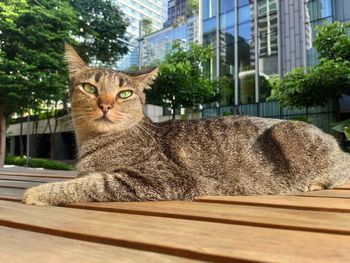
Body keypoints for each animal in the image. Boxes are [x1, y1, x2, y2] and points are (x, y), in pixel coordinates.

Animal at [22, 44, 350, 207]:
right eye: (90, 88)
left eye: (124, 93)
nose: (105, 105)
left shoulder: (162, 179)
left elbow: (91, 184)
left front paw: (40, 192)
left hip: (288, 133)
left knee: (341, 169)